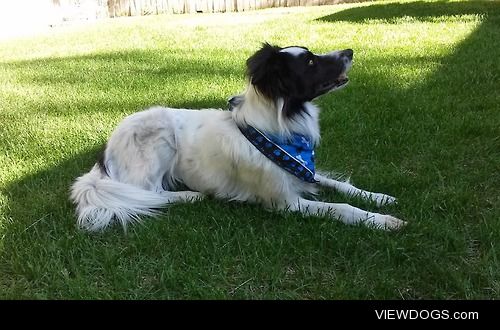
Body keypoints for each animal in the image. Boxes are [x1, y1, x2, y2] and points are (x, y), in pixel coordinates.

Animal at [70, 42, 406, 231]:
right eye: (310, 61)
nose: (350, 51)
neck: (280, 131)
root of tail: (104, 156)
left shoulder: (302, 171)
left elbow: (340, 185)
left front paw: (379, 197)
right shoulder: (284, 202)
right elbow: (341, 208)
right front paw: (381, 221)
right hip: (159, 137)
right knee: (150, 192)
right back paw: (190, 195)